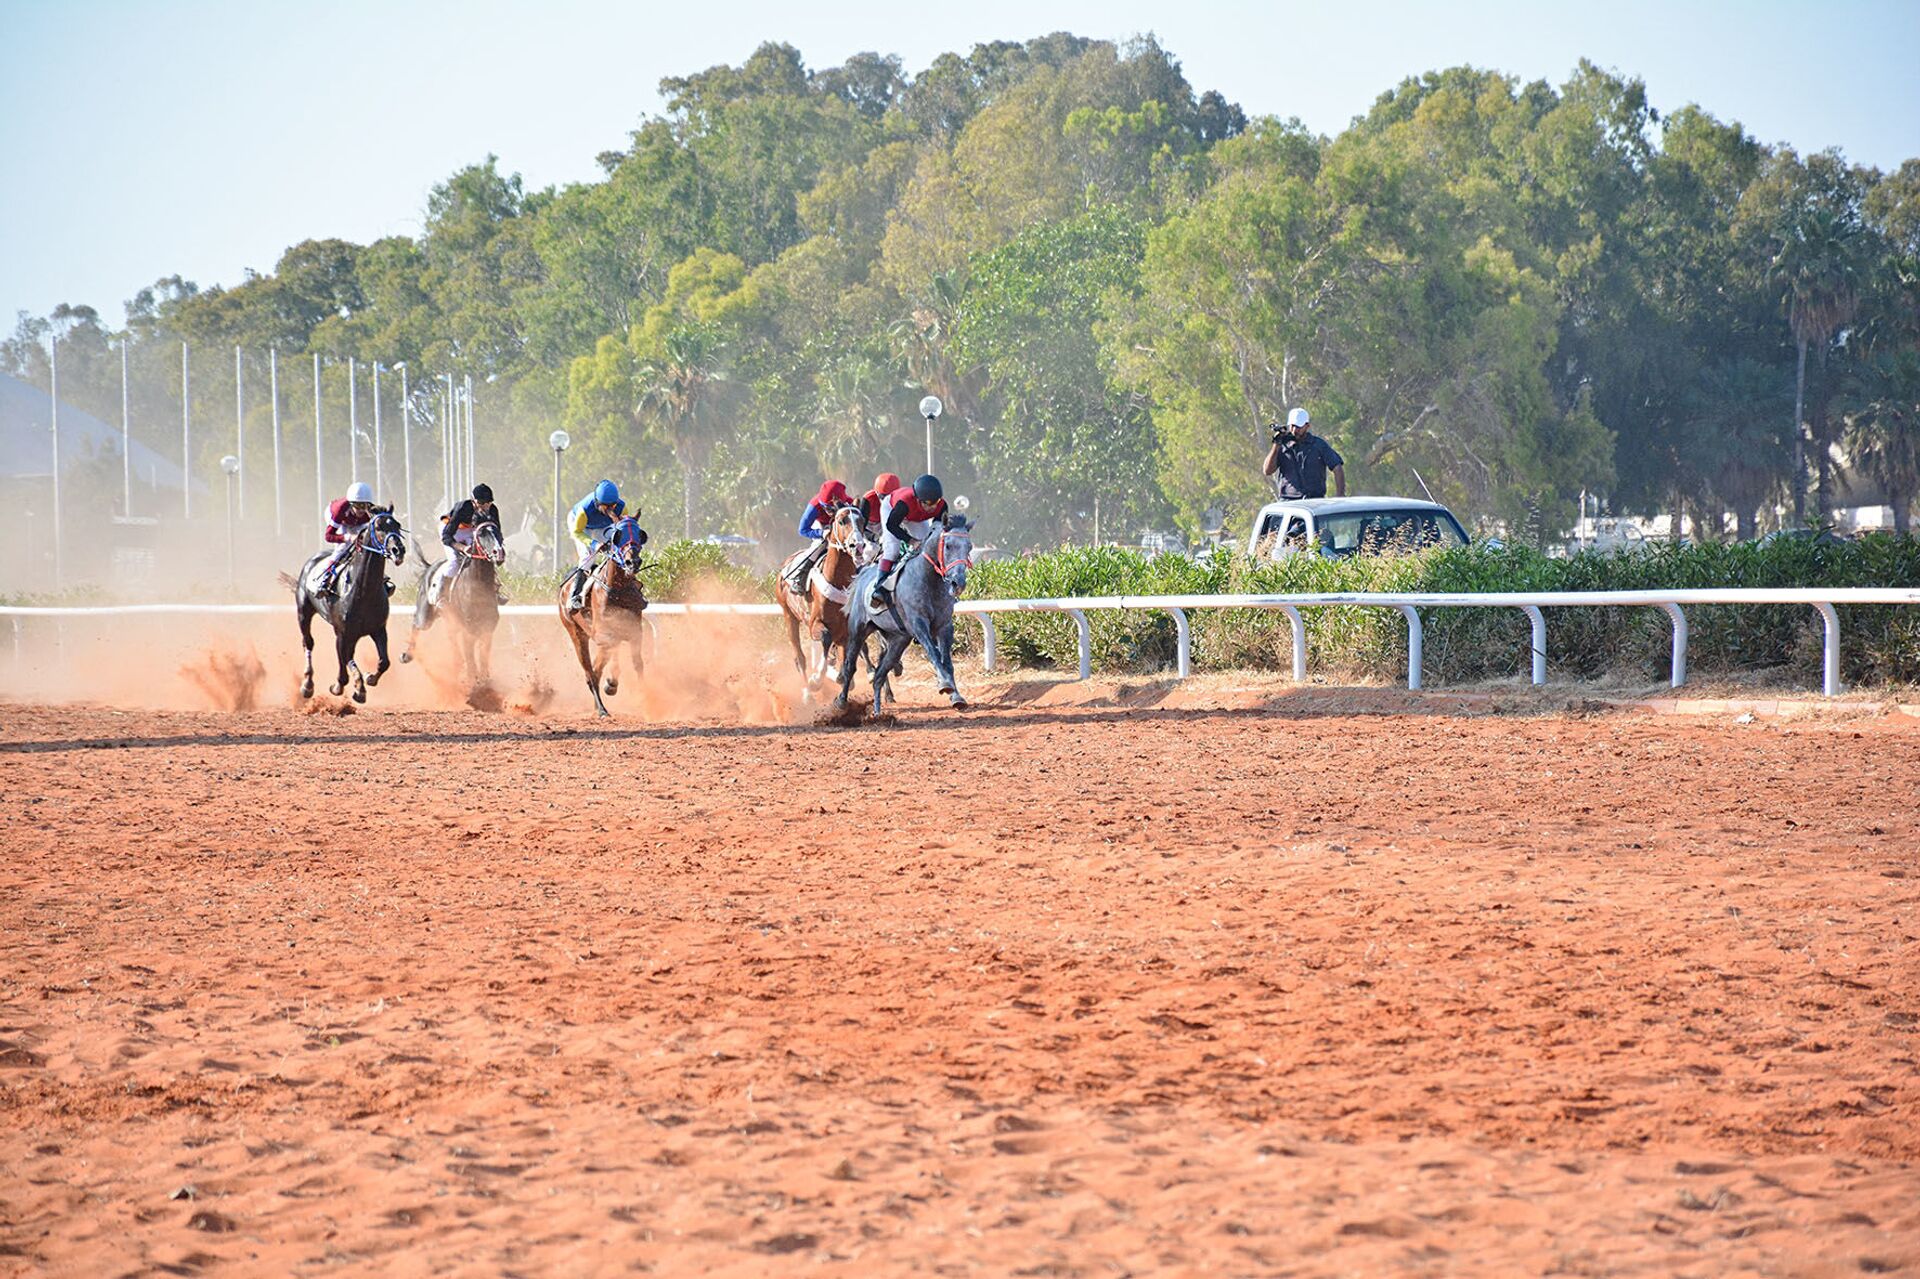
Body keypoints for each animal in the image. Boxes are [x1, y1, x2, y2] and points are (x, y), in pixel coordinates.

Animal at [288, 506, 408, 702]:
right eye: (379, 526)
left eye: (397, 525)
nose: (398, 550)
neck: (363, 592)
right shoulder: (344, 633)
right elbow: (346, 660)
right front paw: (355, 688)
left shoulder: (378, 629)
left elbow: (384, 662)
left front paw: (370, 678)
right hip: (304, 613)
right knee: (309, 643)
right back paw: (307, 684)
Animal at [403, 514, 503, 683]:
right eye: (481, 533)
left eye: (498, 531)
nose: (499, 553)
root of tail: (430, 567)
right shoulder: (468, 631)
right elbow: (471, 660)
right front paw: (474, 683)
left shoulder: (487, 629)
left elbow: (483, 658)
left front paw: (484, 681)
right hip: (426, 615)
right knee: (416, 623)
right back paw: (406, 655)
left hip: (451, 623)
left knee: (454, 646)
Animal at [552, 518, 648, 718]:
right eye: (617, 536)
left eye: (640, 534)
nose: (633, 562)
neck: (619, 590)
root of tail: (564, 587)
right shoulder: (604, 634)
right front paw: (611, 684)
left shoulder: (635, 631)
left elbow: (637, 664)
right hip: (576, 634)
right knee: (590, 673)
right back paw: (602, 709)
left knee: (596, 670)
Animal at [775, 503, 875, 699]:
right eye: (841, 521)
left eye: (861, 520)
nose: (857, 545)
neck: (839, 581)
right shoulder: (815, 623)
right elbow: (826, 639)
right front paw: (816, 679)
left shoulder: (847, 630)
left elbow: (849, 661)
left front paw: (847, 677)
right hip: (789, 615)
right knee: (800, 658)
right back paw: (808, 695)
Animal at [829, 514, 967, 718]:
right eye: (948, 545)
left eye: (969, 546)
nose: (959, 582)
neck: (929, 579)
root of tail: (863, 573)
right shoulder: (918, 624)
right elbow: (934, 653)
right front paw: (945, 685)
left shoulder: (944, 626)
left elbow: (947, 661)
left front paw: (956, 696)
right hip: (858, 630)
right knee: (850, 666)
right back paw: (841, 702)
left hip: (898, 640)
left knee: (879, 674)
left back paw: (878, 713)